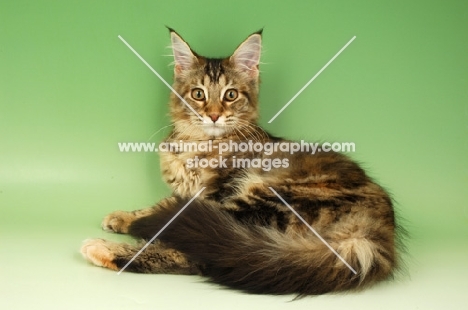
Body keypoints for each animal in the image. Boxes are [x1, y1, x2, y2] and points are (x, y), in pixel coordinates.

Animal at [79, 28, 402, 296]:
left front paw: (128, 227)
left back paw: (104, 249)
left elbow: (167, 219)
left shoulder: (213, 194)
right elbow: (160, 206)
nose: (213, 115)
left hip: (263, 200)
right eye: (198, 94)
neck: (197, 144)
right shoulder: (185, 195)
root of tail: (374, 234)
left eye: (231, 95)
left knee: (197, 254)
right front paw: (123, 217)